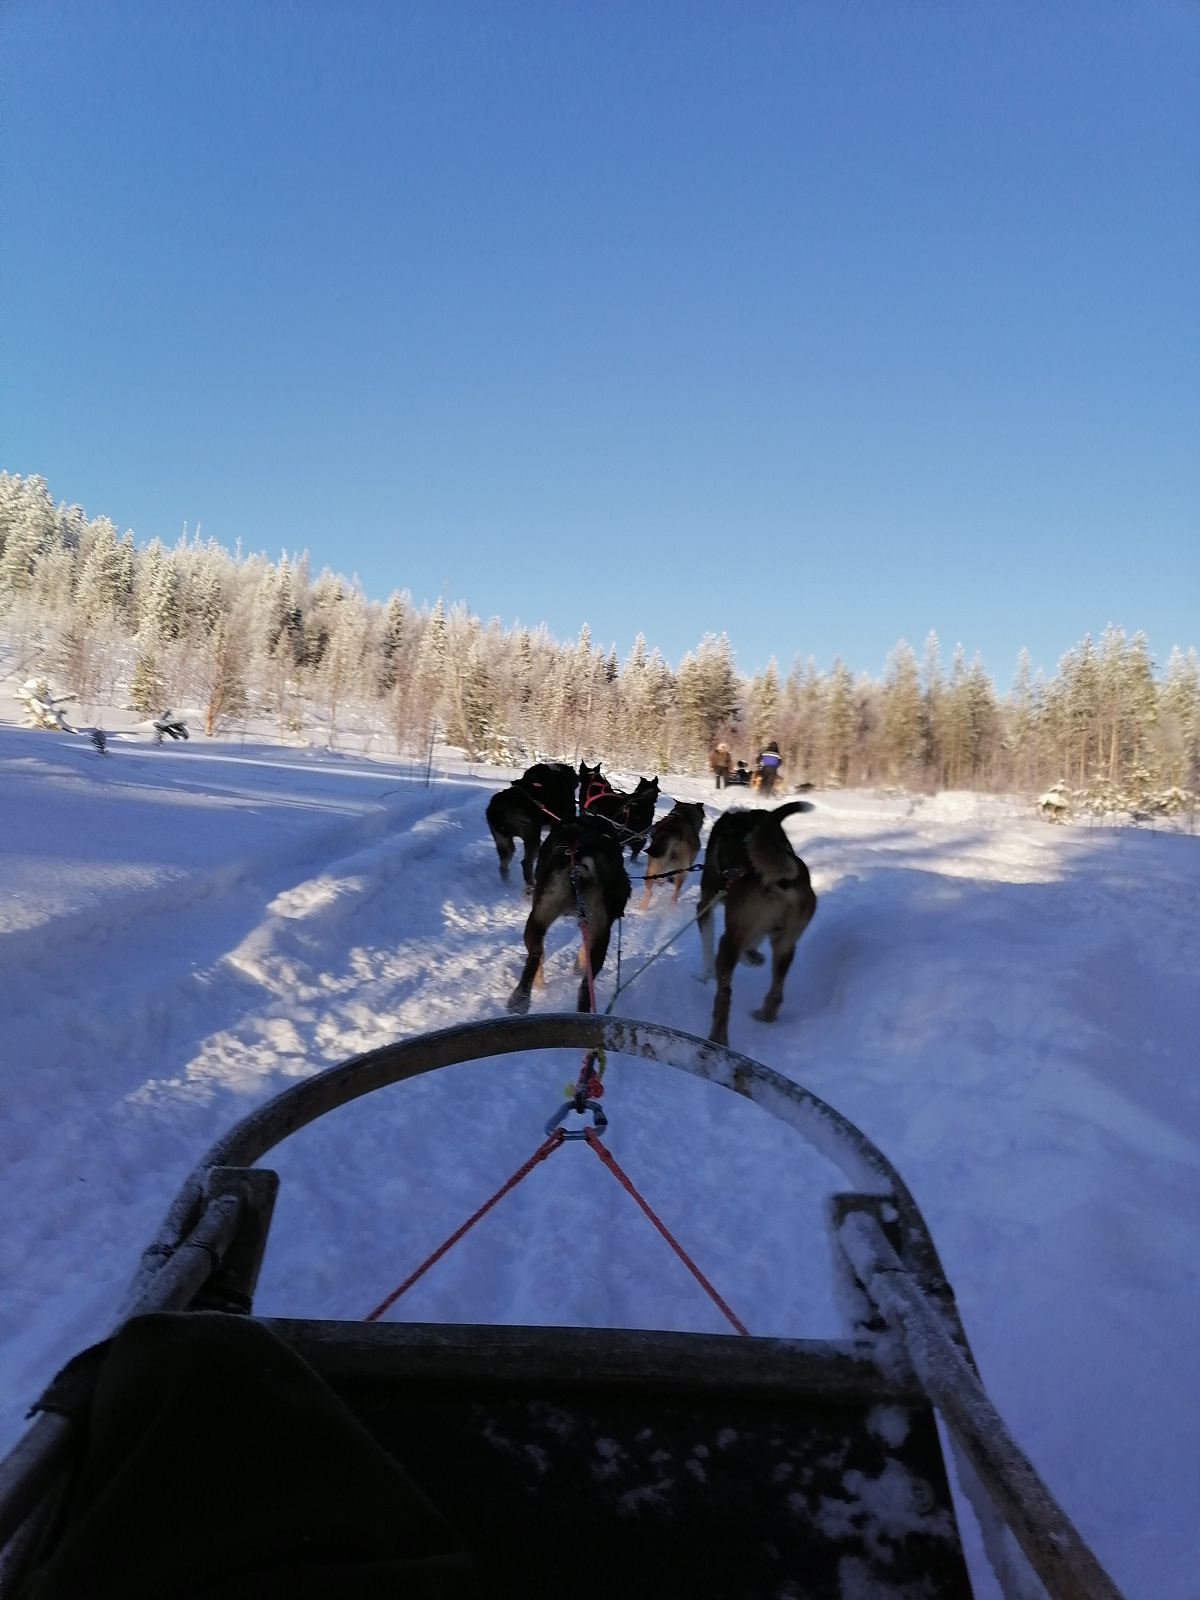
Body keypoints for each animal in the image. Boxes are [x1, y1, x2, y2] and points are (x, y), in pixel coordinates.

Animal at [489, 761, 579, 889]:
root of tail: (503, 806)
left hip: (503, 838)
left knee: (504, 861)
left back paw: (507, 881)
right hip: (532, 837)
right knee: (526, 863)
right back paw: (531, 886)